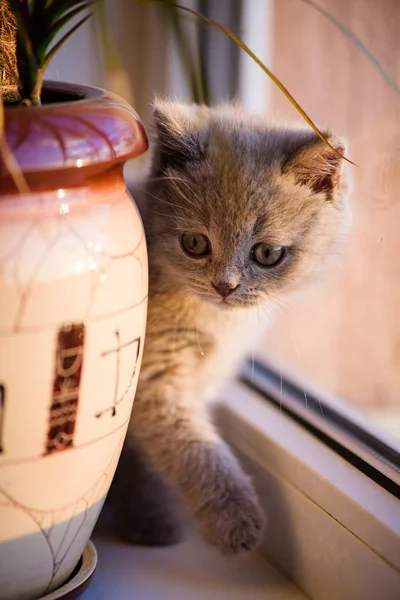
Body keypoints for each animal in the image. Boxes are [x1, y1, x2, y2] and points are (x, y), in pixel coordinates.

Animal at [109, 101, 350, 556]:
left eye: (268, 253)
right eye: (195, 244)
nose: (225, 286)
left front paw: (149, 516)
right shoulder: (152, 379)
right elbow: (194, 450)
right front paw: (235, 521)